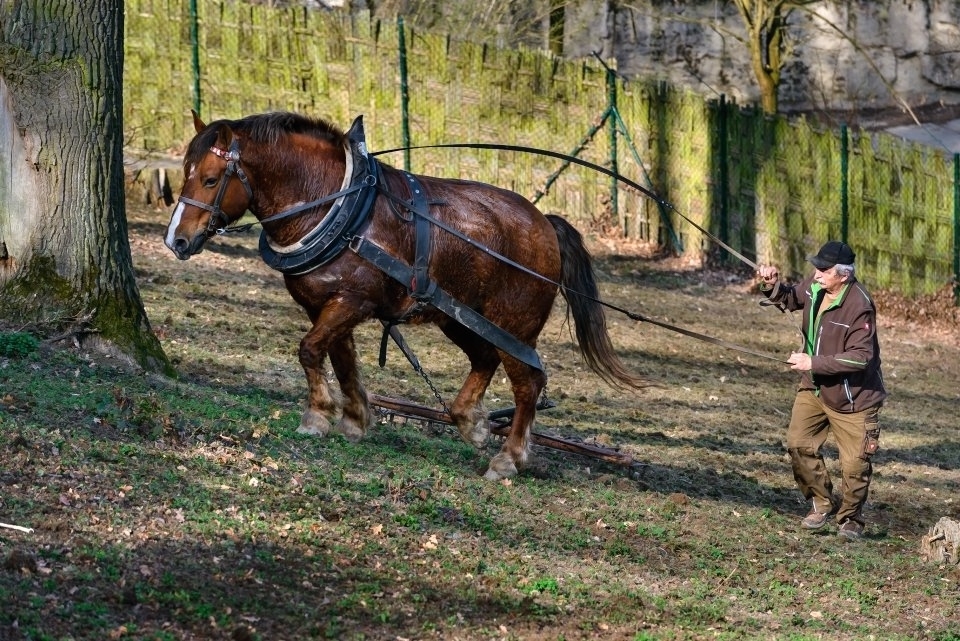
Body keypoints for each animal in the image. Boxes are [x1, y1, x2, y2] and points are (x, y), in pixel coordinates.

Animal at [165, 111, 644, 480]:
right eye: (185, 174)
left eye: (210, 178)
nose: (177, 241)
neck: (337, 205)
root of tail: (545, 223)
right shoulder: (328, 305)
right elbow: (340, 358)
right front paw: (355, 418)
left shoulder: (351, 301)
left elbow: (309, 350)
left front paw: (317, 415)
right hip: (460, 317)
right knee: (484, 360)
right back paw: (470, 423)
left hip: (513, 326)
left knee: (528, 384)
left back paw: (507, 459)